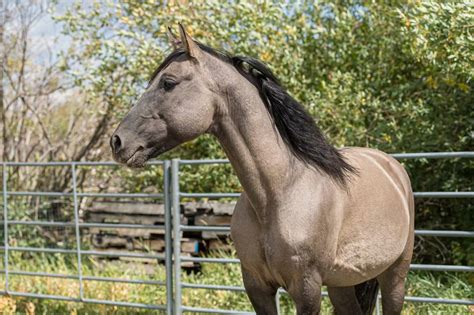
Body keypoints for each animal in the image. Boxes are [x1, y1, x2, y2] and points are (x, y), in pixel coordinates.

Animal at [109, 25, 412, 315]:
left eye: (168, 83)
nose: (117, 142)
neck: (278, 193)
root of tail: (392, 167)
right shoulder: (257, 286)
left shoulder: (307, 289)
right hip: (343, 282)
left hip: (395, 275)